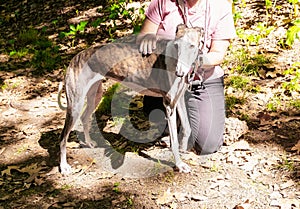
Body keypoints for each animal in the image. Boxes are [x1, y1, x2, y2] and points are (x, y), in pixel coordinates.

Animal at [58, 24, 204, 175]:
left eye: (192, 46)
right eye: (176, 45)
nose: (179, 72)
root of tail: (75, 57)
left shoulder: (178, 100)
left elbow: (187, 127)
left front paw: (183, 149)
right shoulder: (169, 105)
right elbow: (173, 139)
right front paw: (179, 164)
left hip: (95, 95)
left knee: (85, 118)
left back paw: (89, 142)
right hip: (75, 104)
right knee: (63, 137)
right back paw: (64, 166)